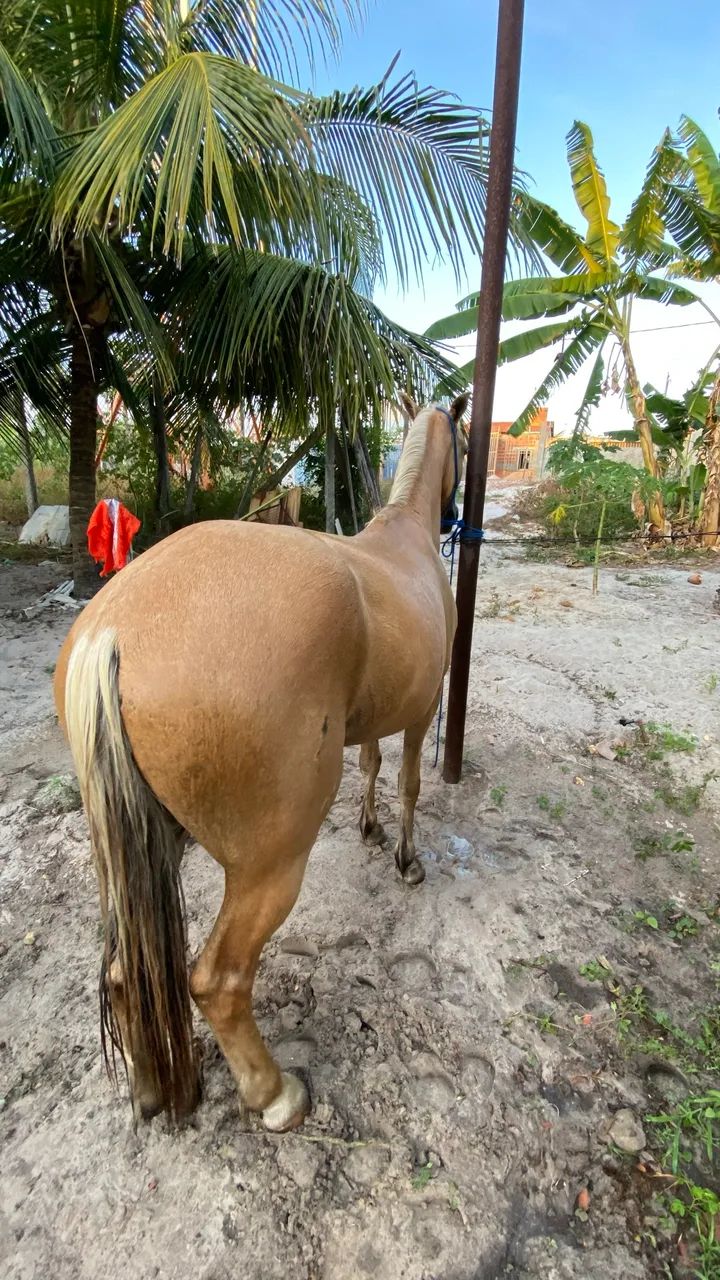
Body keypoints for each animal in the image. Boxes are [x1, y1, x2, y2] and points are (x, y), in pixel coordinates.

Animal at [53, 393, 469, 1132]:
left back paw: (149, 1089)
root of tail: (114, 627)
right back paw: (273, 1095)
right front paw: (407, 859)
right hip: (269, 866)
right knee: (217, 980)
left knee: (126, 972)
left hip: (136, 852)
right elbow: (411, 785)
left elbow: (371, 768)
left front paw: (369, 830)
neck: (405, 542)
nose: (457, 518)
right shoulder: (422, 713)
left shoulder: (375, 720)